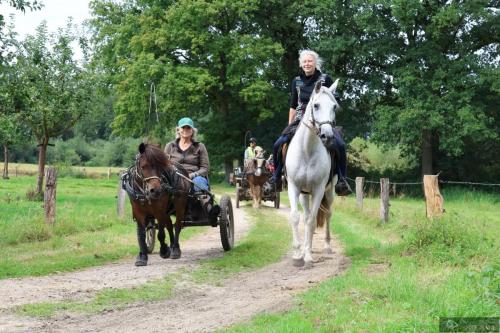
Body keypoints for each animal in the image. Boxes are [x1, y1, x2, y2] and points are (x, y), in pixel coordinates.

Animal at [286, 78, 340, 268]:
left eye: (334, 106)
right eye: (316, 105)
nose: (327, 136)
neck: (307, 151)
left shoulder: (318, 189)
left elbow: (311, 221)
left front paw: (308, 256)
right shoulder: (294, 187)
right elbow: (296, 217)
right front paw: (297, 255)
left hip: (329, 191)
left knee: (328, 214)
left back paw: (327, 246)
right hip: (304, 194)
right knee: (307, 214)